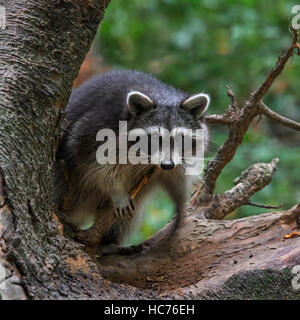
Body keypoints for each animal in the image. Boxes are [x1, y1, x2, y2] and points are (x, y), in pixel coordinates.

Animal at [54, 70, 210, 255]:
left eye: (180, 138)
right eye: (155, 138)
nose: (167, 165)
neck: (162, 96)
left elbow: (177, 177)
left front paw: (180, 201)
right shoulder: (96, 126)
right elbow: (96, 164)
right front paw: (116, 190)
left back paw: (108, 242)